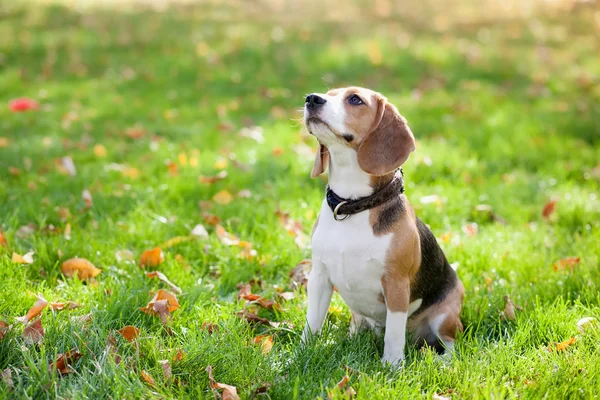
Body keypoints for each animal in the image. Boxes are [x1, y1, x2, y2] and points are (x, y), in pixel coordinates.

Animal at [304, 86, 464, 366]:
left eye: (355, 99)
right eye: (328, 93)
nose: (311, 99)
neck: (353, 205)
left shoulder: (396, 284)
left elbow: (394, 334)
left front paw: (392, 367)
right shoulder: (319, 277)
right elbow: (312, 322)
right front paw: (299, 354)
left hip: (445, 316)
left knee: (450, 343)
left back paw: (441, 362)